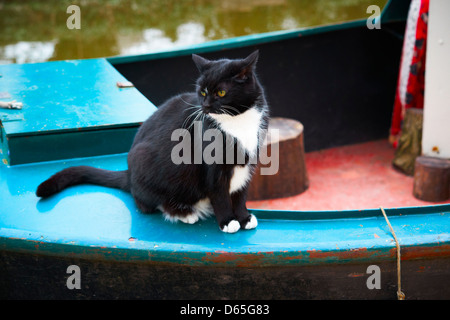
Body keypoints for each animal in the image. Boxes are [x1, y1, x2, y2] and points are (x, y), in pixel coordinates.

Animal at [36, 51, 268, 234]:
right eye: (202, 91)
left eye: (221, 92)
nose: (205, 106)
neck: (236, 122)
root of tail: (129, 174)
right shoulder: (213, 168)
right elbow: (219, 194)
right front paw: (228, 221)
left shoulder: (248, 163)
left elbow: (240, 193)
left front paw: (244, 217)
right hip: (144, 160)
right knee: (145, 204)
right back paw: (182, 212)